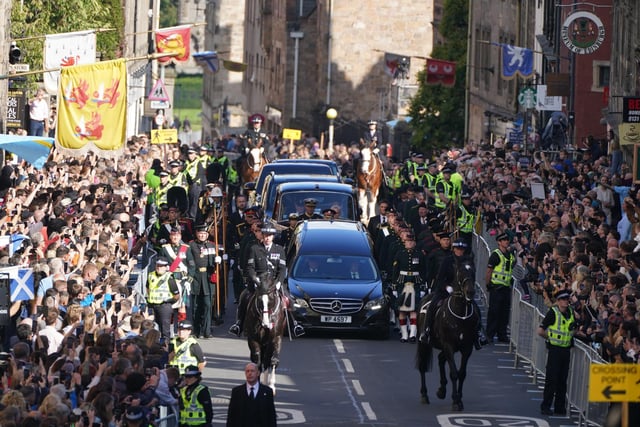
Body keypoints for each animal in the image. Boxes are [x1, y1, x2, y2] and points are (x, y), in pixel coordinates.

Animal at [418, 260, 478, 412]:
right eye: (460, 272)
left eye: (473, 272)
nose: (470, 292)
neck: (461, 314)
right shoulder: (449, 346)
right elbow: (454, 373)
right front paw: (456, 401)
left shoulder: (466, 348)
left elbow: (462, 373)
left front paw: (459, 398)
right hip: (424, 343)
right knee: (422, 366)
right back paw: (424, 395)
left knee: (440, 359)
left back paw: (442, 390)